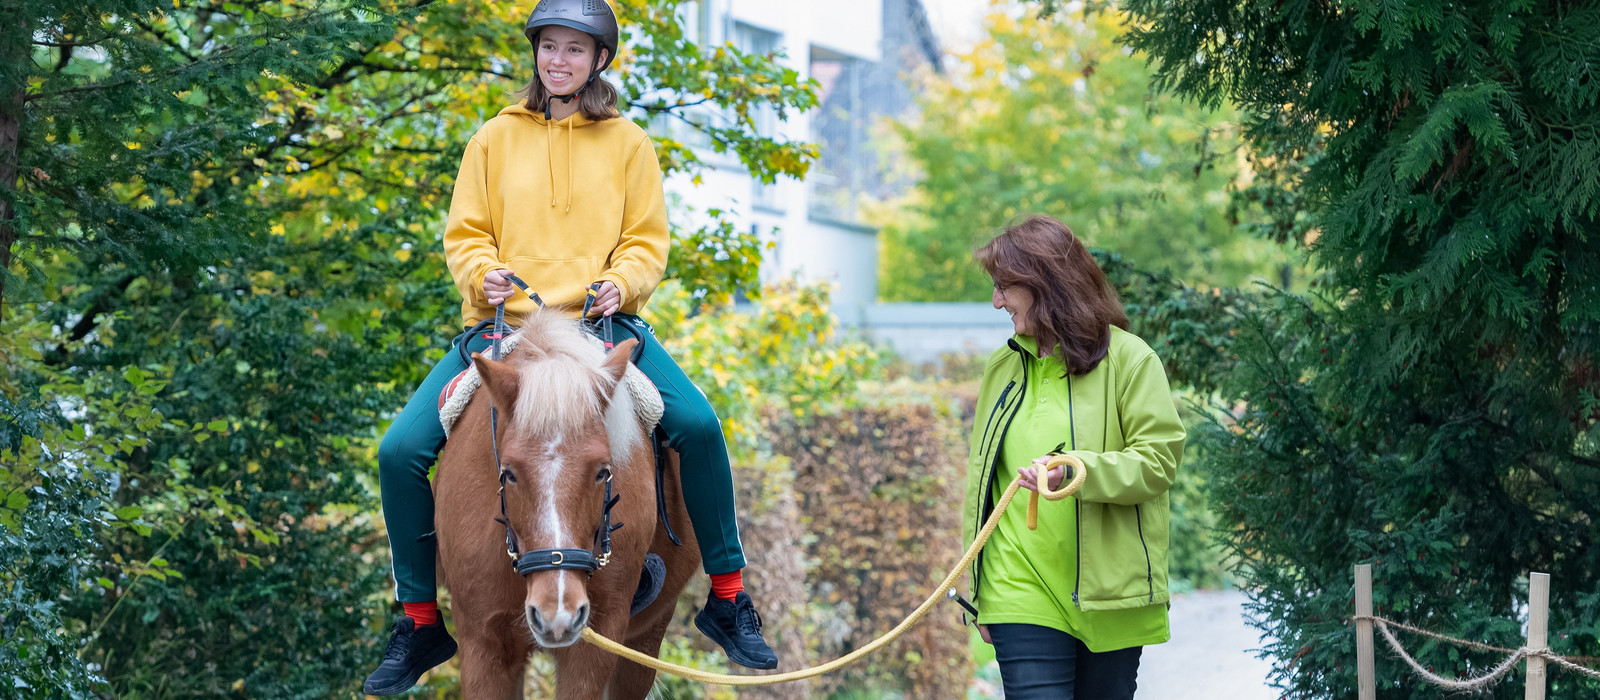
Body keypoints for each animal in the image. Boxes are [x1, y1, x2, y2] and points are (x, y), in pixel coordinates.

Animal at [432, 313, 700, 700]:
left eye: (604, 471)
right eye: (509, 473)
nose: (556, 613)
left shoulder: (596, 640)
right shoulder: (483, 641)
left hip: (643, 642)